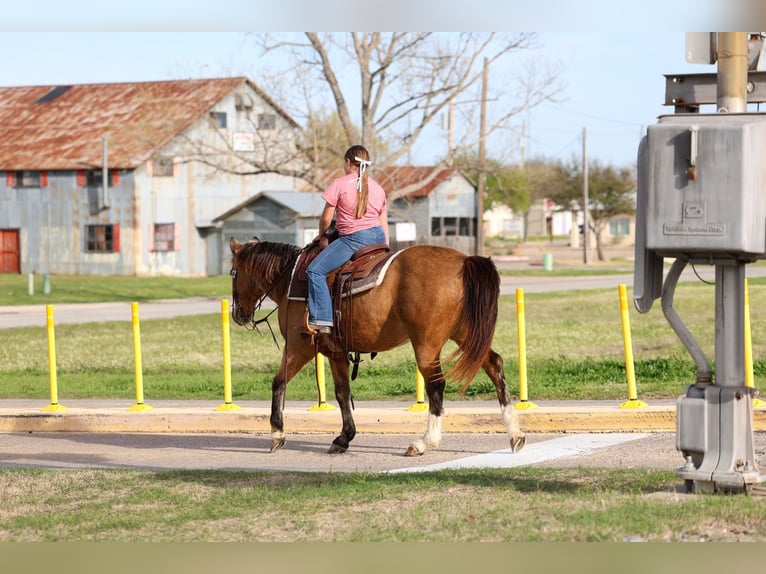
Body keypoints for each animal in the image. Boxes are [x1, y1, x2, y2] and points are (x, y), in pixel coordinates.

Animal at [228, 236, 526, 457]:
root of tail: (464, 261)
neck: (290, 278)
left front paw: (277, 434)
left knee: (436, 385)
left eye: (233, 272)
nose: (237, 314)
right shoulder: (336, 352)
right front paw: (344, 437)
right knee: (494, 365)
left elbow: (278, 383)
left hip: (427, 345)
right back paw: (515, 433)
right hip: (466, 336)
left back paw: (424, 442)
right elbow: (342, 393)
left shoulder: (298, 348)